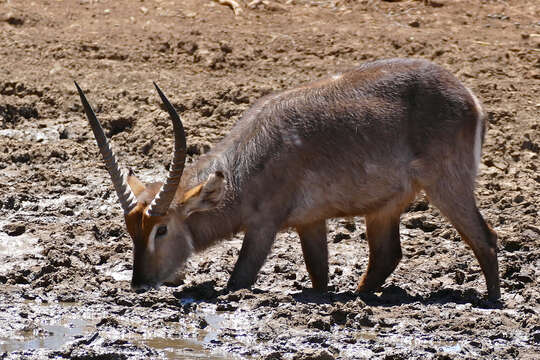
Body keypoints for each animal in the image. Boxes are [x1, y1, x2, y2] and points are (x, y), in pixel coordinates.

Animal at [76, 59, 502, 300]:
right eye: (132, 231)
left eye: (161, 229)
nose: (140, 284)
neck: (248, 161)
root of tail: (468, 96)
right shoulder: (309, 222)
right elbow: (319, 277)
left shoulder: (264, 225)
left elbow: (240, 279)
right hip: (384, 207)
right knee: (387, 254)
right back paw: (360, 298)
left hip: (447, 186)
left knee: (486, 237)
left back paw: (491, 302)